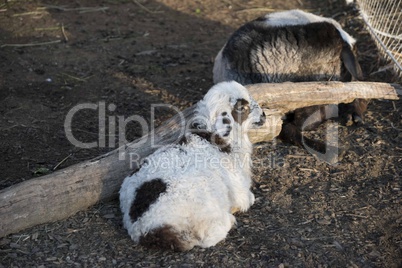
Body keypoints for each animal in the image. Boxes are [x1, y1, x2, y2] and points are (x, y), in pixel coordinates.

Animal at [118, 80, 266, 251]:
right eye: (242, 107)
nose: (264, 115)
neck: (216, 139)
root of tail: (145, 229)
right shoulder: (238, 187)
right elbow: (248, 199)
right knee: (208, 236)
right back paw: (229, 219)